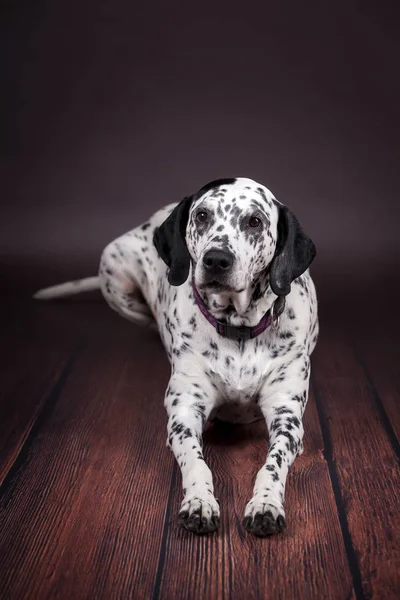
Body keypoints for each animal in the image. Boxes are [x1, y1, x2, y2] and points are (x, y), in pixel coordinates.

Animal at [34, 177, 318, 536]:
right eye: (202, 215)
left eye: (255, 221)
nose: (216, 260)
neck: (238, 331)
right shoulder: (184, 412)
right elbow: (196, 463)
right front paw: (199, 502)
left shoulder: (286, 415)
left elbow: (273, 464)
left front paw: (266, 503)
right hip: (113, 267)